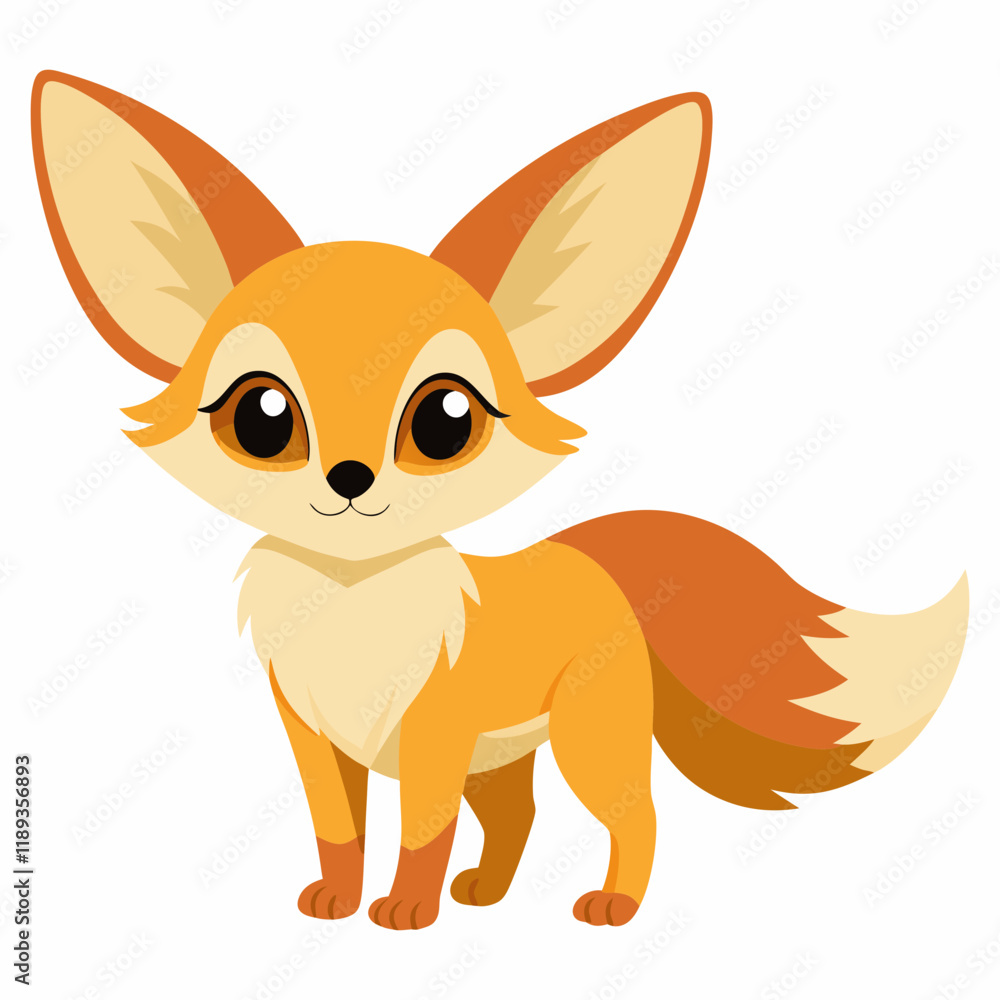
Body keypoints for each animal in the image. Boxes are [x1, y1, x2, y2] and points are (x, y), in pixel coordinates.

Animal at [32, 70, 969, 930]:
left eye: (445, 421)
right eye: (262, 418)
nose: (349, 480)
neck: (350, 604)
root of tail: (588, 556)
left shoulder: (434, 738)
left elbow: (420, 833)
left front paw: (405, 912)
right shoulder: (316, 738)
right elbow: (339, 831)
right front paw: (338, 901)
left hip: (584, 741)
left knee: (636, 813)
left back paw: (612, 906)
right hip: (503, 757)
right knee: (520, 814)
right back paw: (486, 893)